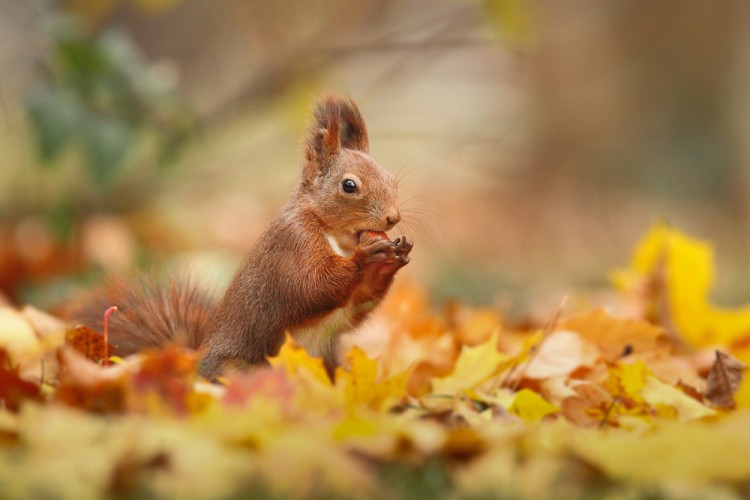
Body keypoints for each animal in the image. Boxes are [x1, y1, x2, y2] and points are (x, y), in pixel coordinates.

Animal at [65, 94, 414, 378]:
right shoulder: (292, 246)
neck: (337, 237)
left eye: (390, 179)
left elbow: (358, 302)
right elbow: (313, 285)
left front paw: (389, 261)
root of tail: (195, 368)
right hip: (239, 368)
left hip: (329, 362)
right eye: (349, 186)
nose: (393, 217)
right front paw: (365, 258)